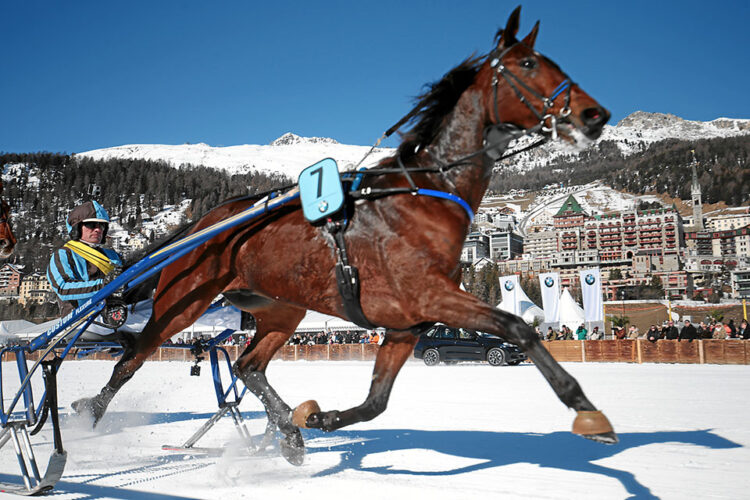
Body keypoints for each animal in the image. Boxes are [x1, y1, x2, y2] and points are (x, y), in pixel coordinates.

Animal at [72, 7, 616, 465]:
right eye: (528, 63)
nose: (595, 114)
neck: (424, 195)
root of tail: (210, 221)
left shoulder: (405, 324)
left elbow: (376, 401)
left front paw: (318, 417)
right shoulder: (433, 297)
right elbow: (518, 327)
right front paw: (585, 408)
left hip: (281, 309)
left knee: (248, 366)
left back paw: (288, 430)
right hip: (182, 301)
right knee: (133, 357)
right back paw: (88, 416)